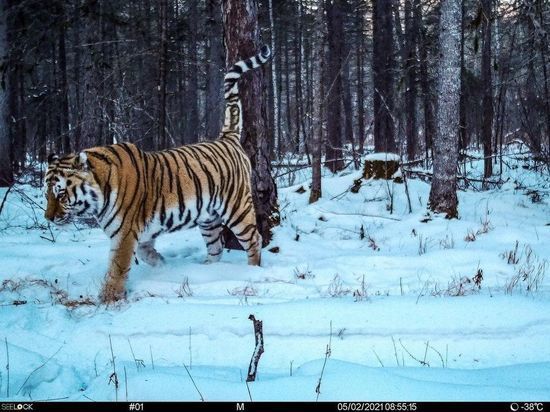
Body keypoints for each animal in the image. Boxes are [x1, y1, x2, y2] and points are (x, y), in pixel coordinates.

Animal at [44, 45, 272, 302]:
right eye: (46, 195)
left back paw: (251, 271)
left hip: (237, 208)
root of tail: (227, 138)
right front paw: (162, 266)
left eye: (61, 194)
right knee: (216, 247)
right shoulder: (142, 233)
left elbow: (117, 268)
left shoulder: (124, 234)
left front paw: (109, 298)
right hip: (208, 218)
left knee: (254, 240)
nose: (48, 218)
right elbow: (145, 253)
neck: (99, 192)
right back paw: (206, 271)